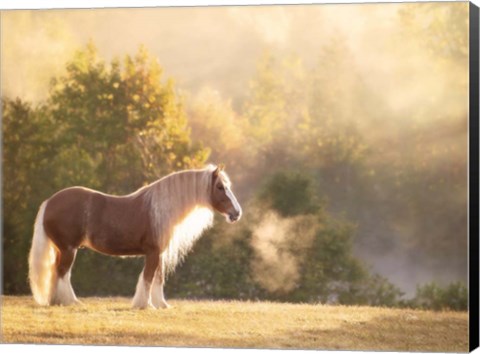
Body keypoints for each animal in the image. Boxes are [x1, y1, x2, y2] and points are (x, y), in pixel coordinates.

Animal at [28, 165, 242, 308]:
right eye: (220, 187)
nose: (237, 213)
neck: (161, 209)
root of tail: (49, 202)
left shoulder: (159, 254)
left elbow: (158, 278)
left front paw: (162, 305)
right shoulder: (153, 253)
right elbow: (148, 277)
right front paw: (145, 305)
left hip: (61, 249)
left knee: (56, 272)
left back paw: (56, 301)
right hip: (69, 249)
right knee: (63, 273)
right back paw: (71, 301)